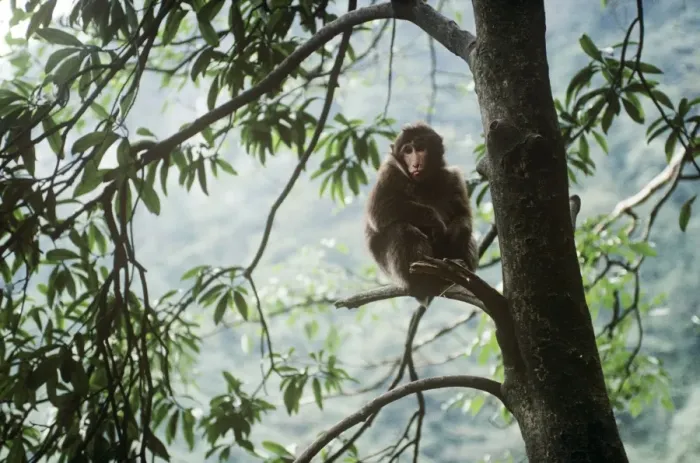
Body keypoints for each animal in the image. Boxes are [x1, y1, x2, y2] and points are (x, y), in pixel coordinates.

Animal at [364, 121, 478, 308]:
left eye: (420, 148)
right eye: (407, 151)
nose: (415, 164)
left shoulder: (453, 176)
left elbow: (463, 215)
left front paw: (456, 231)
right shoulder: (389, 171)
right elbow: (380, 211)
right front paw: (434, 220)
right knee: (401, 229)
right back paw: (421, 278)